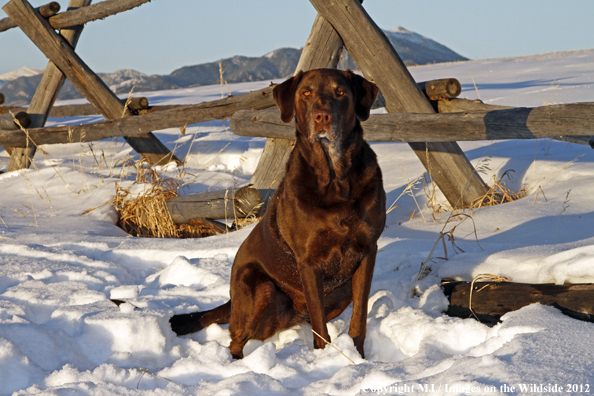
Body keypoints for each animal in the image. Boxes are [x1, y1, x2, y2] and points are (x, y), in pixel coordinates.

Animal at [169, 68, 386, 358]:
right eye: (306, 93)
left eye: (340, 92)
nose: (322, 116)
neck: (335, 179)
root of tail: (231, 300)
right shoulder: (308, 261)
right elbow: (320, 325)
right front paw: (325, 357)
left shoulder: (367, 250)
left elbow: (359, 317)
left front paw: (358, 357)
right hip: (262, 288)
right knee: (236, 338)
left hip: (339, 294)